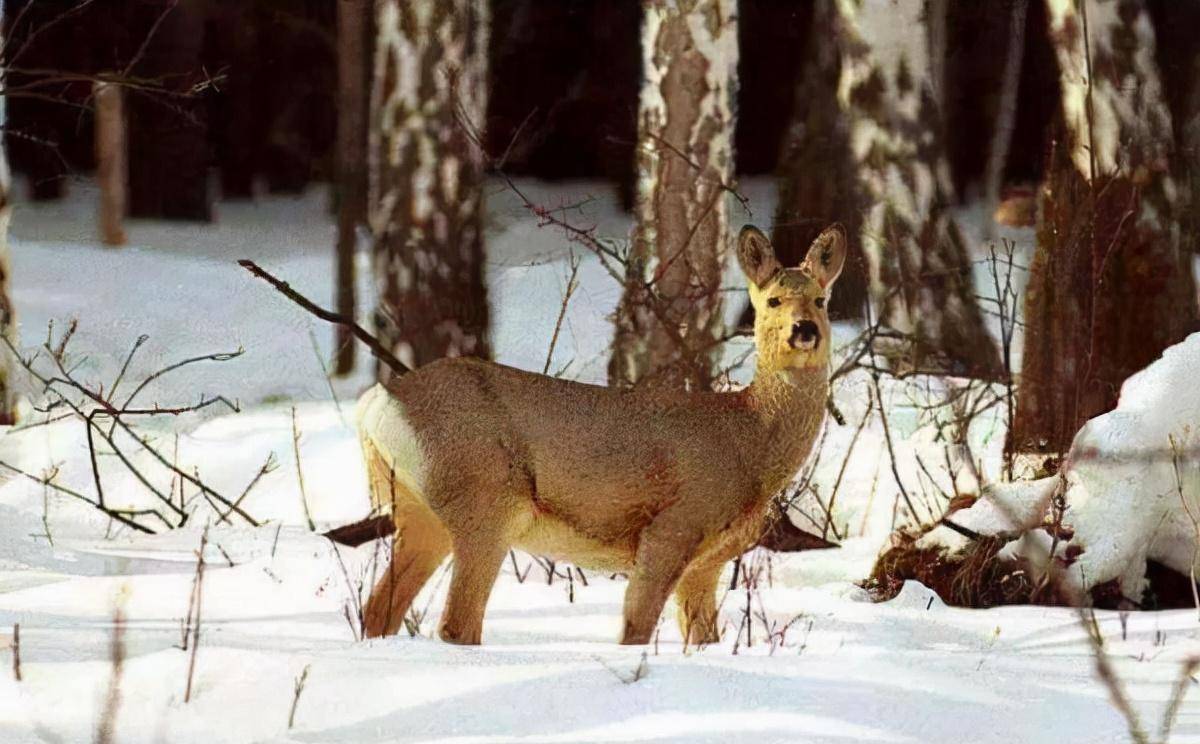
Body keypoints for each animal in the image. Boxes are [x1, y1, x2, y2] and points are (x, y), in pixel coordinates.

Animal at [355, 223, 844, 643]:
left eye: (821, 300)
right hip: (486, 500)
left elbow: (704, 640)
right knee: (456, 625)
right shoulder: (673, 526)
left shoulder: (708, 563)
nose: (804, 330)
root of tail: (377, 400)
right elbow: (635, 628)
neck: (748, 438)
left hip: (420, 511)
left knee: (379, 609)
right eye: (774, 300)